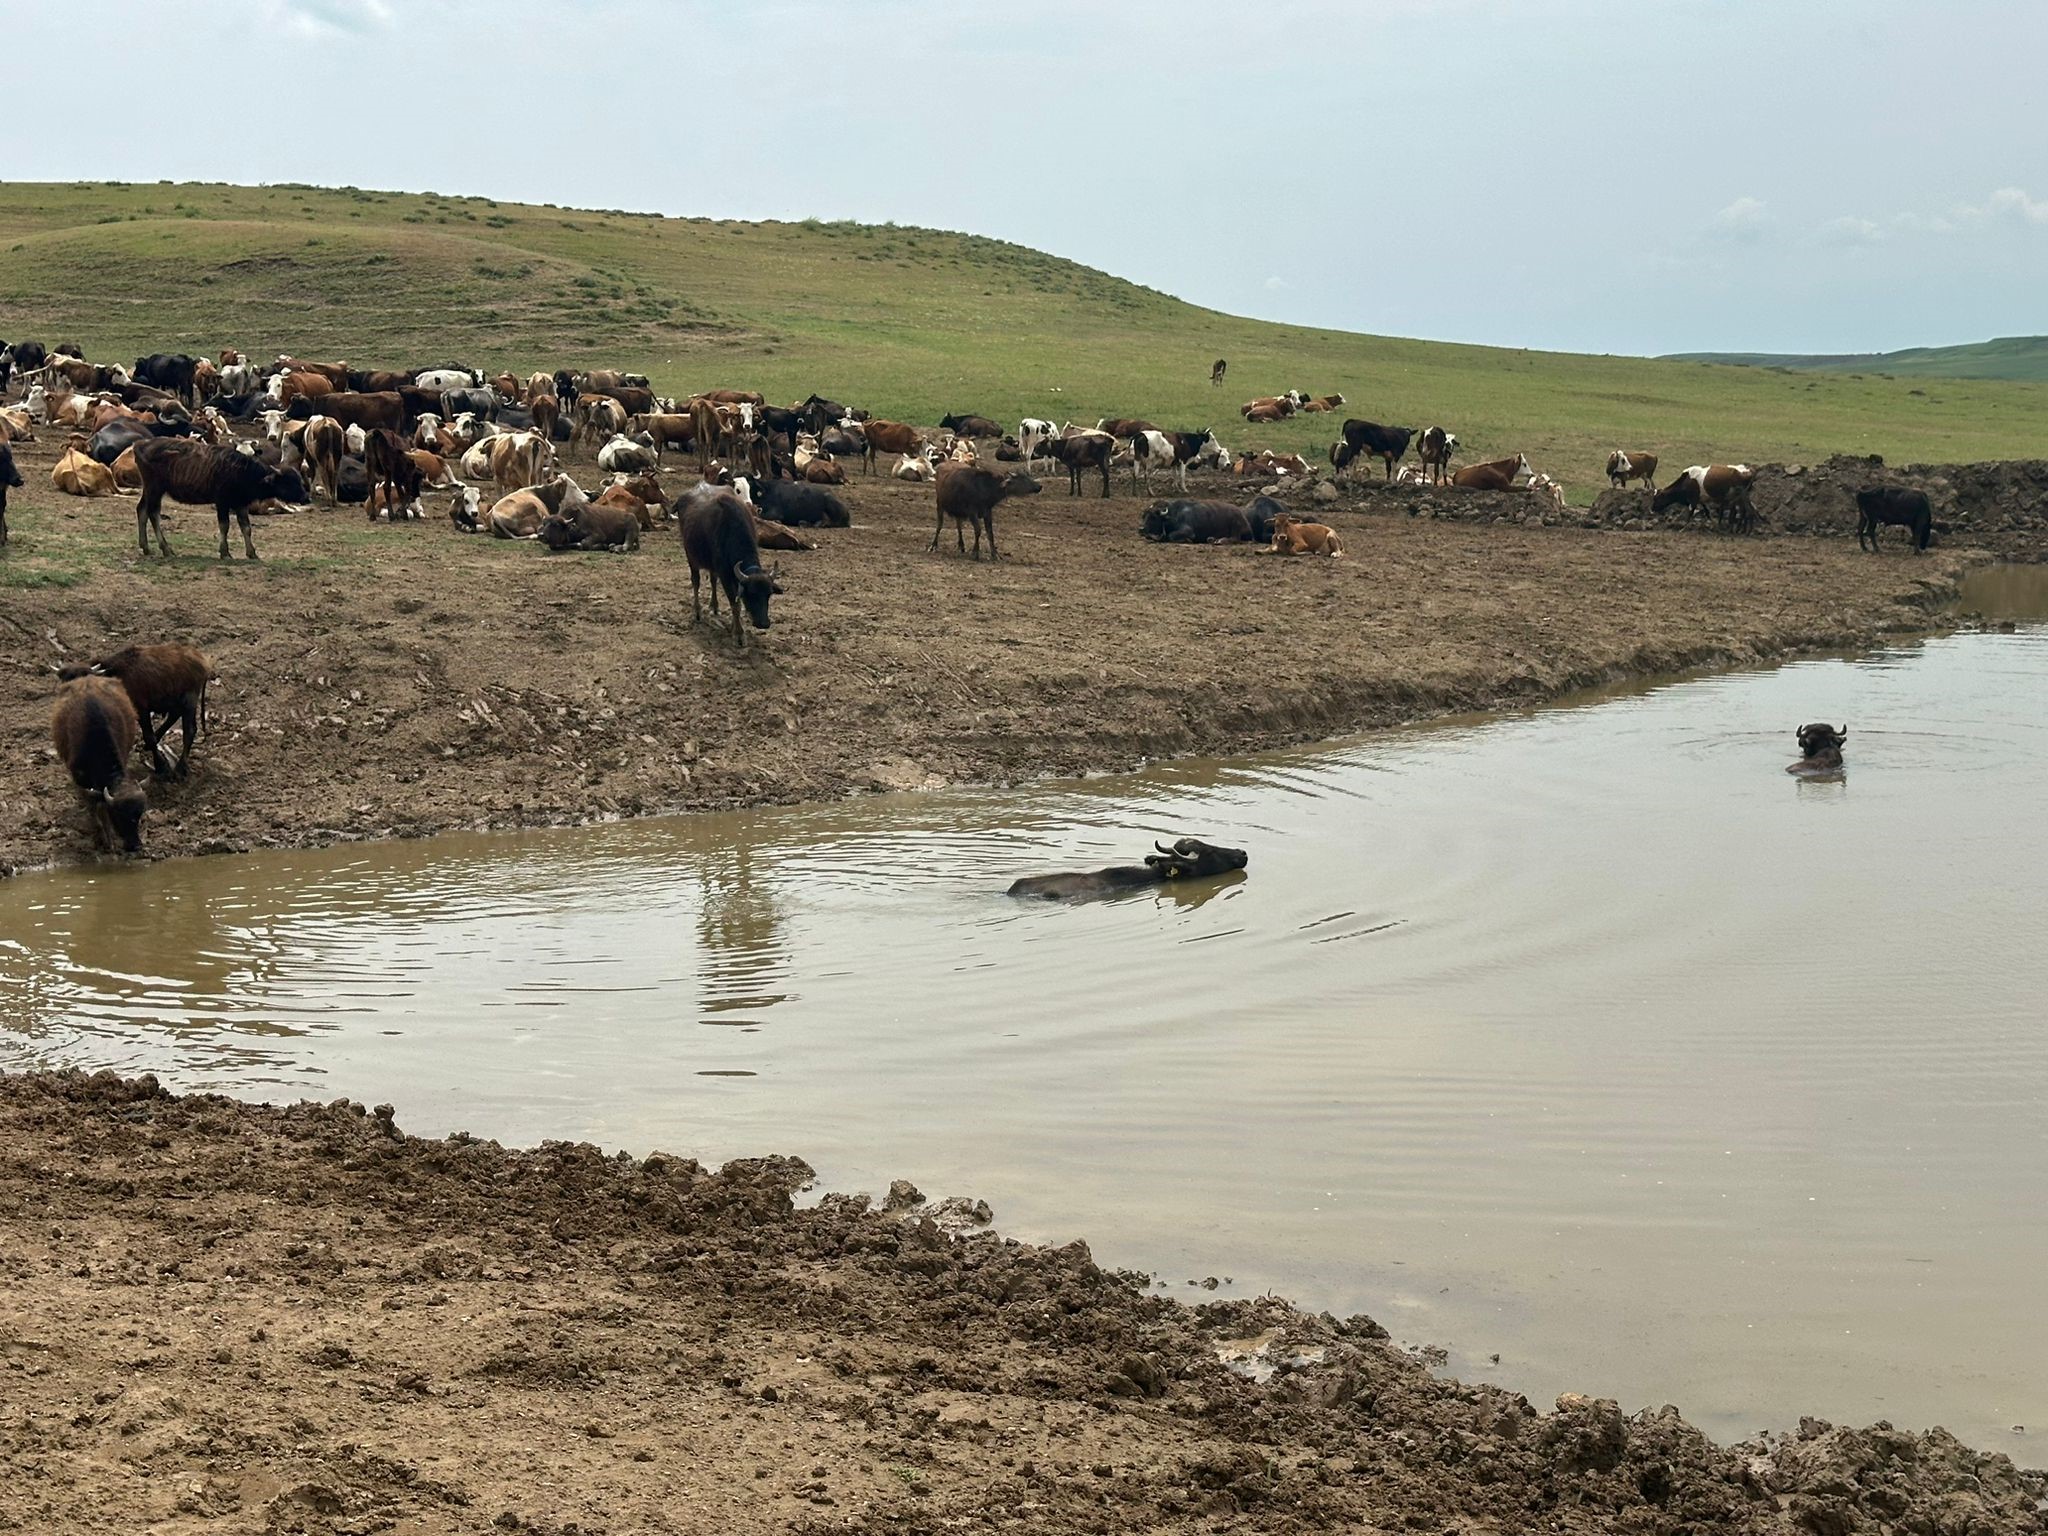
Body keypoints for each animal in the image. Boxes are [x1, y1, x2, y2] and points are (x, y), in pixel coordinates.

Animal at [49, 679, 147, 860]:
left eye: (139, 815)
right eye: (118, 815)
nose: (135, 846)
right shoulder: (79, 777)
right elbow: (95, 807)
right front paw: (104, 839)